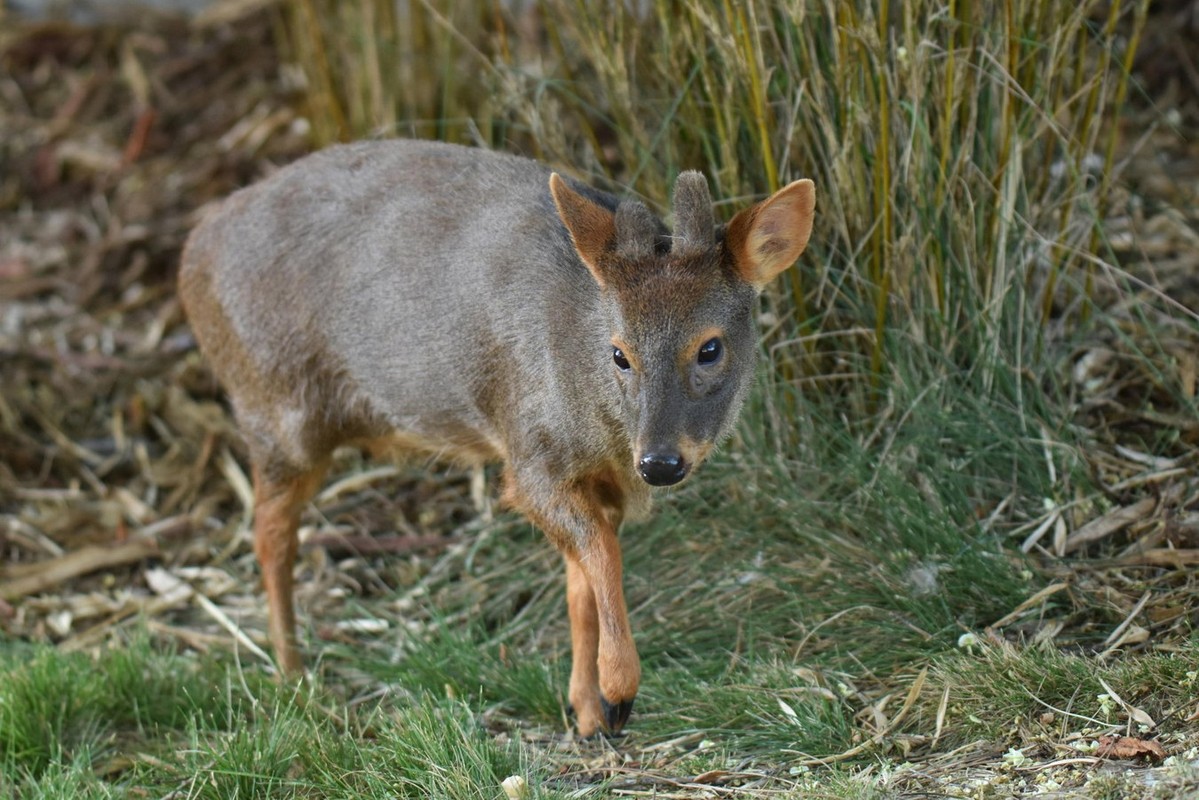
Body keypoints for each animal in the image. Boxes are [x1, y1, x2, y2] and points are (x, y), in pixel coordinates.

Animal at [177, 139, 815, 738]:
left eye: (710, 347)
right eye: (619, 353)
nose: (660, 463)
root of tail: (192, 252)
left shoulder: (597, 482)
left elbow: (581, 586)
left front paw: (588, 710)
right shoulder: (530, 459)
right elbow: (601, 557)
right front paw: (618, 692)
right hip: (277, 412)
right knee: (269, 534)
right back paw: (293, 675)